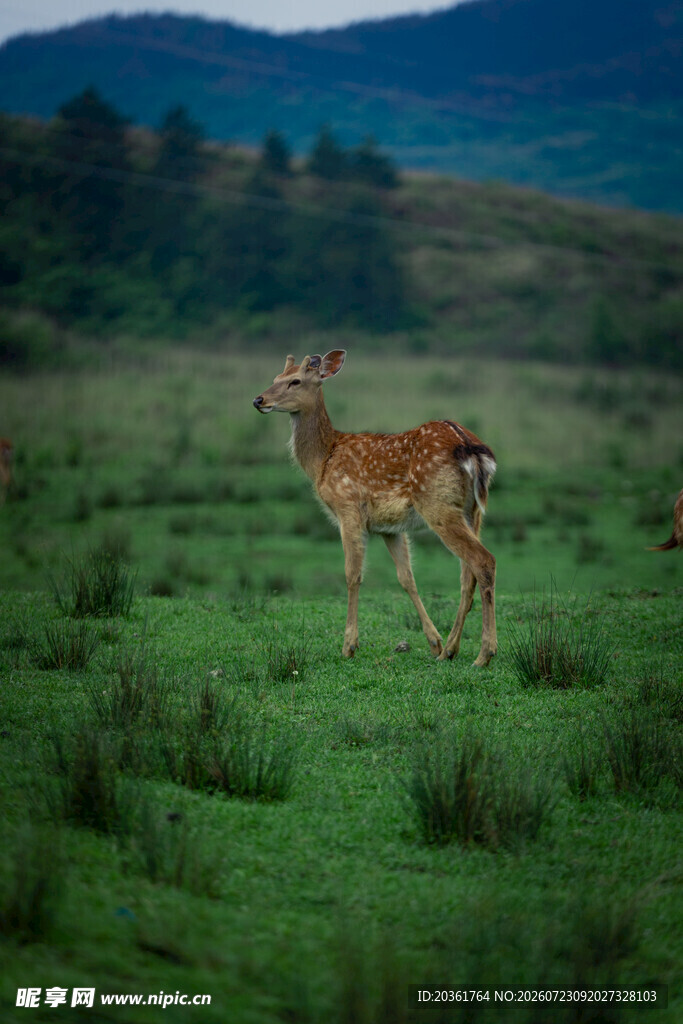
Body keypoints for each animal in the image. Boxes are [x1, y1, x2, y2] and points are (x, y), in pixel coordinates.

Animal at [253, 351, 497, 667]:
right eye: (275, 377)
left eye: (294, 381)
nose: (259, 400)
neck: (323, 460)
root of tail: (471, 447)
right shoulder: (388, 527)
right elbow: (407, 578)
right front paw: (434, 642)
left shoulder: (348, 508)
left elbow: (352, 574)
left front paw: (349, 646)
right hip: (473, 510)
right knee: (467, 575)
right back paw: (451, 650)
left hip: (438, 503)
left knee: (483, 561)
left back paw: (484, 654)